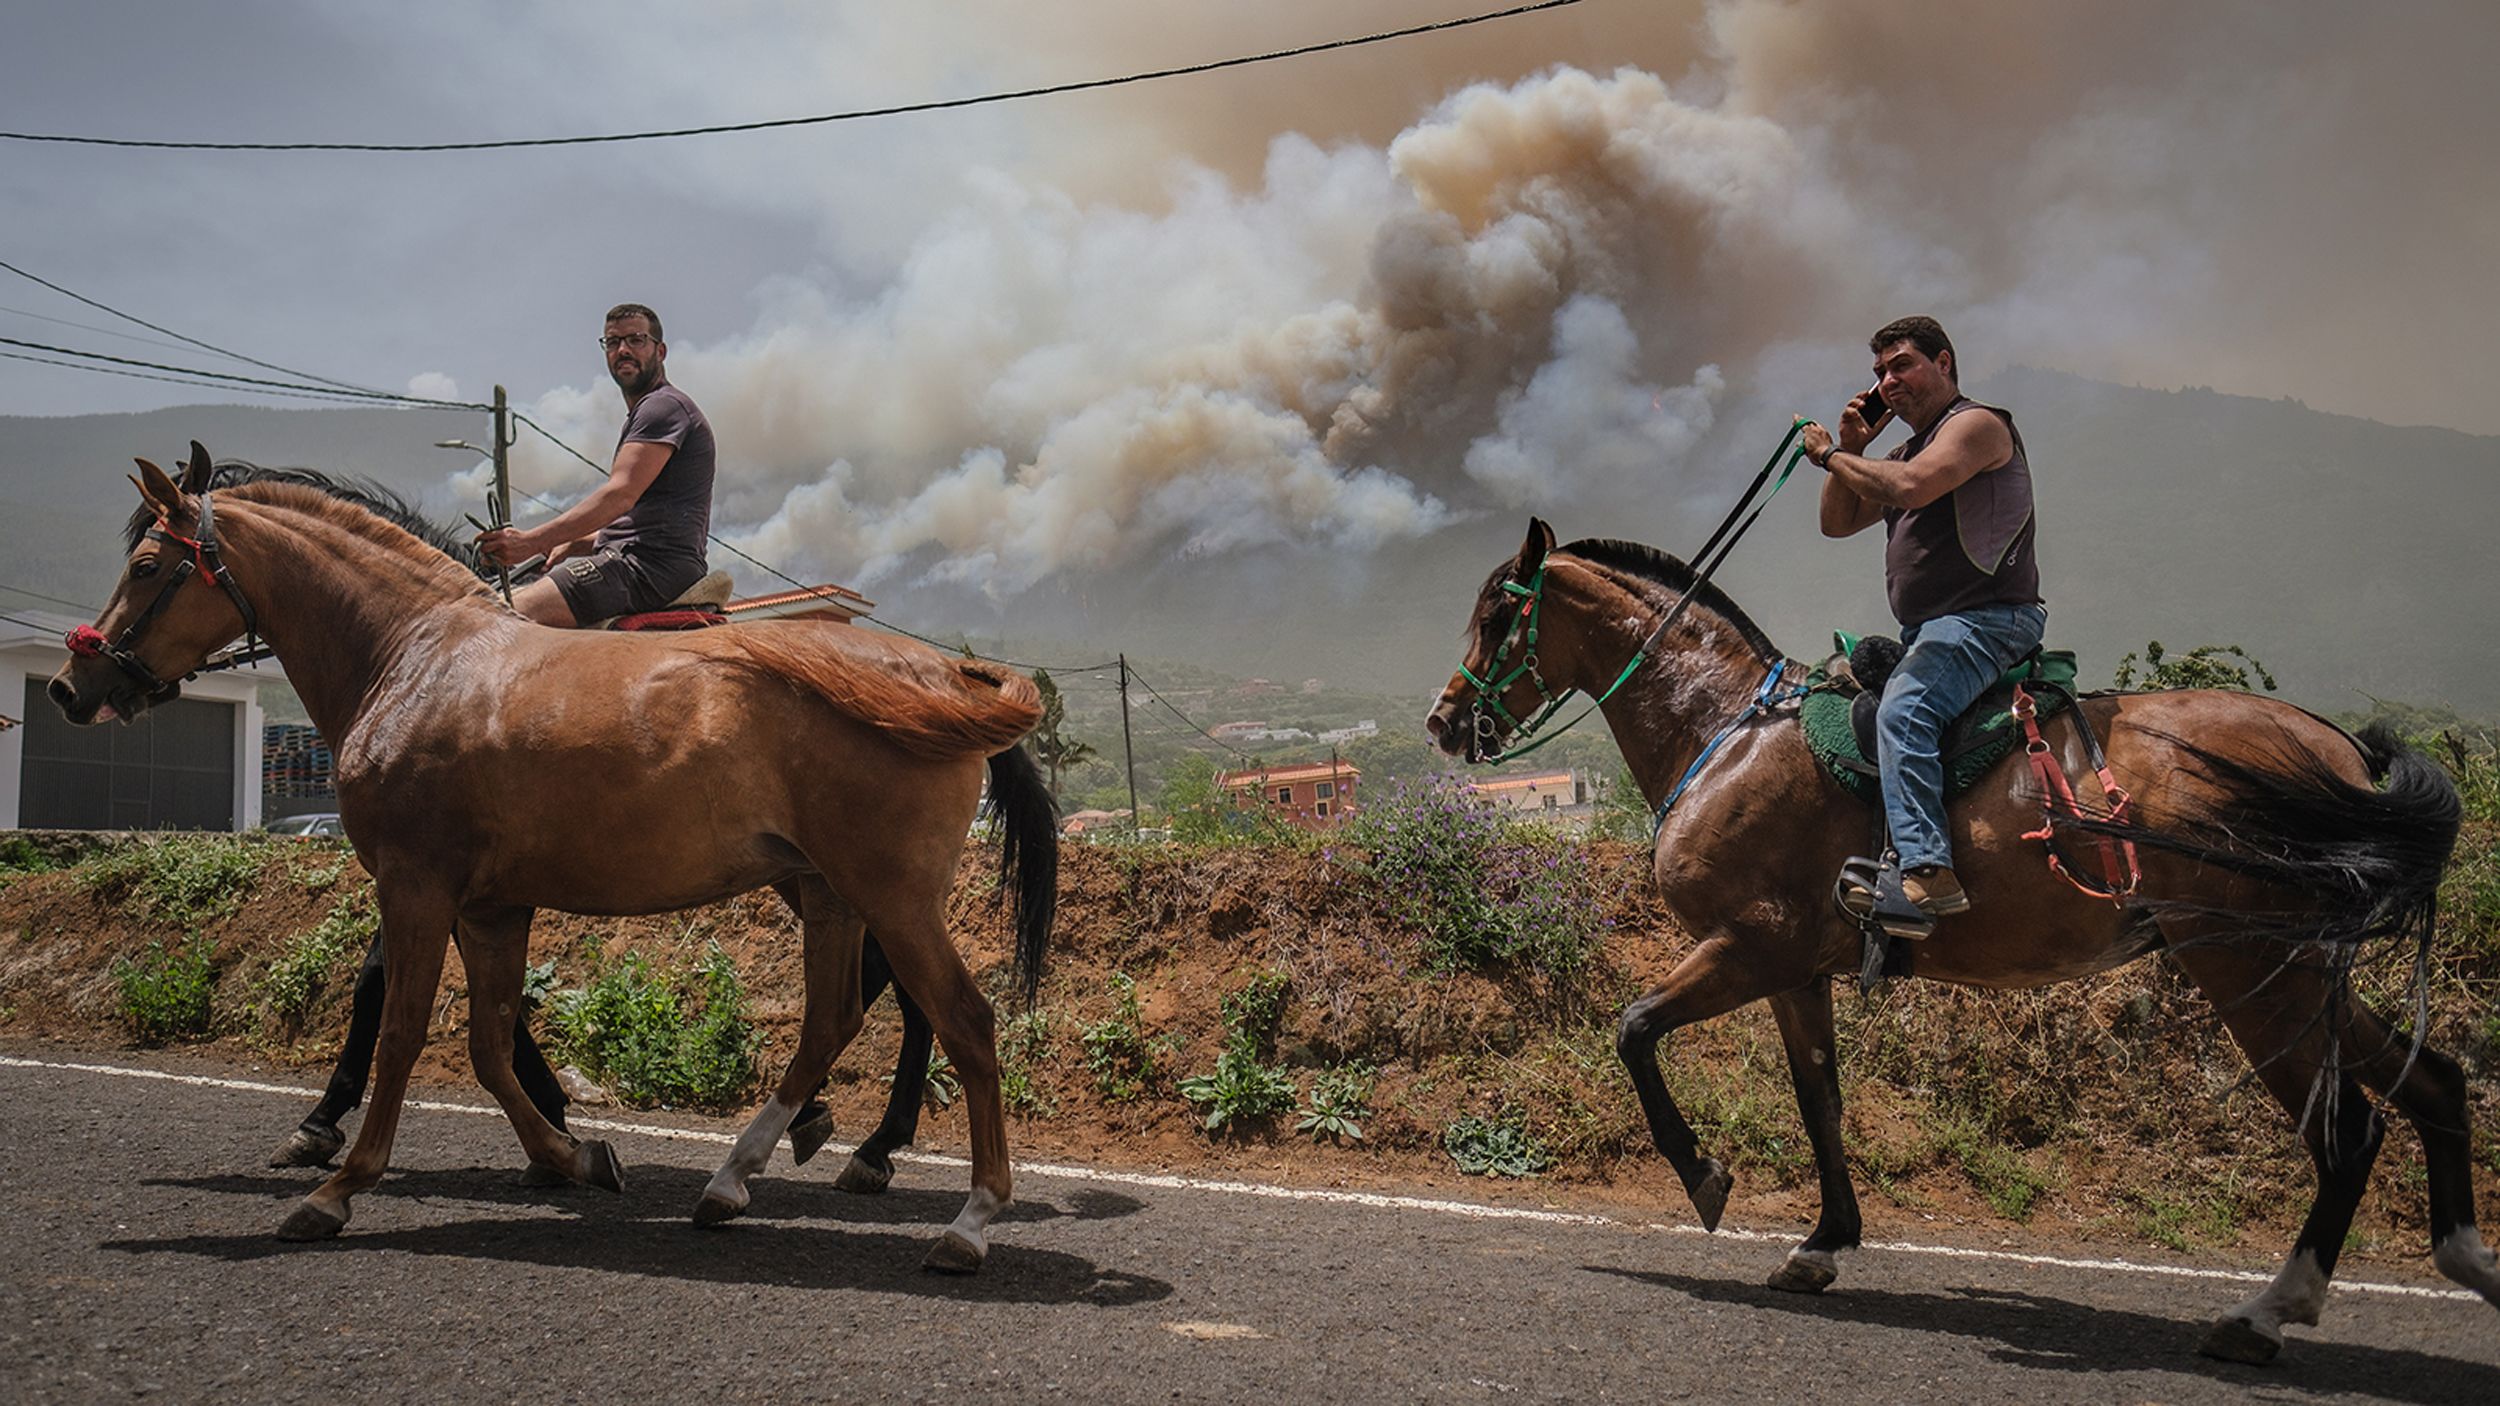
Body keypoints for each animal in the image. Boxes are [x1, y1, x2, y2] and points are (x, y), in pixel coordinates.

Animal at [51, 445, 1055, 1270]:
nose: (71, 684)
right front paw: (570, 1153)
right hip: (830, 892)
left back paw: (967, 1217)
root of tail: (944, 672)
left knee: (963, 1022)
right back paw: (741, 1173)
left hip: (889, 894)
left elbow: (400, 1029)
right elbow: (489, 1042)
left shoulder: (416, 887)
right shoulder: (490, 904)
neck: (415, 656)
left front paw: (338, 1185)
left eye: (147, 567)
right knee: (837, 1018)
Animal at [1430, 517, 2500, 1360]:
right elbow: (1820, 1100)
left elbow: (1636, 1030)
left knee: (2348, 1129)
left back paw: (2270, 1312)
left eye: (1498, 613)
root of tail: (2338, 751)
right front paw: (1823, 1243)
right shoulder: (1798, 970)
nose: (1445, 721)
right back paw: (2465, 1257)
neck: (1727, 732)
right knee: (2434, 1083)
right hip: (2302, 969)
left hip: (2254, 970)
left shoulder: (1751, 945)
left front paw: (1704, 1177)